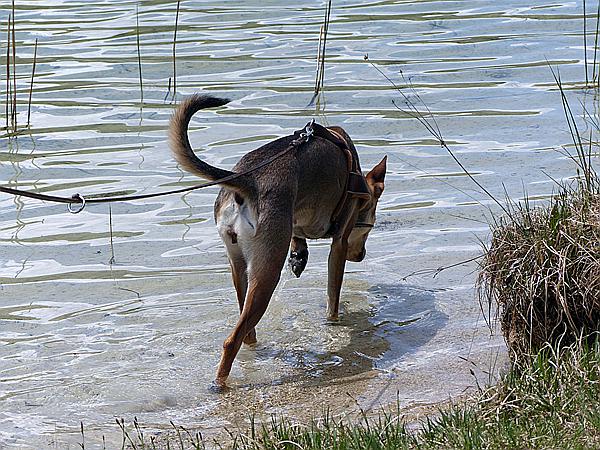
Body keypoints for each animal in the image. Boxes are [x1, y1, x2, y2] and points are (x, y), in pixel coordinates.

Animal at [170, 94, 384, 386]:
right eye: (370, 223)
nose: (361, 256)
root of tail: (247, 179)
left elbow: (298, 235)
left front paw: (299, 256)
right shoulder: (339, 245)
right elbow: (333, 297)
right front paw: (334, 321)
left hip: (240, 270)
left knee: (246, 330)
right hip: (267, 273)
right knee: (232, 340)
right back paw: (220, 385)